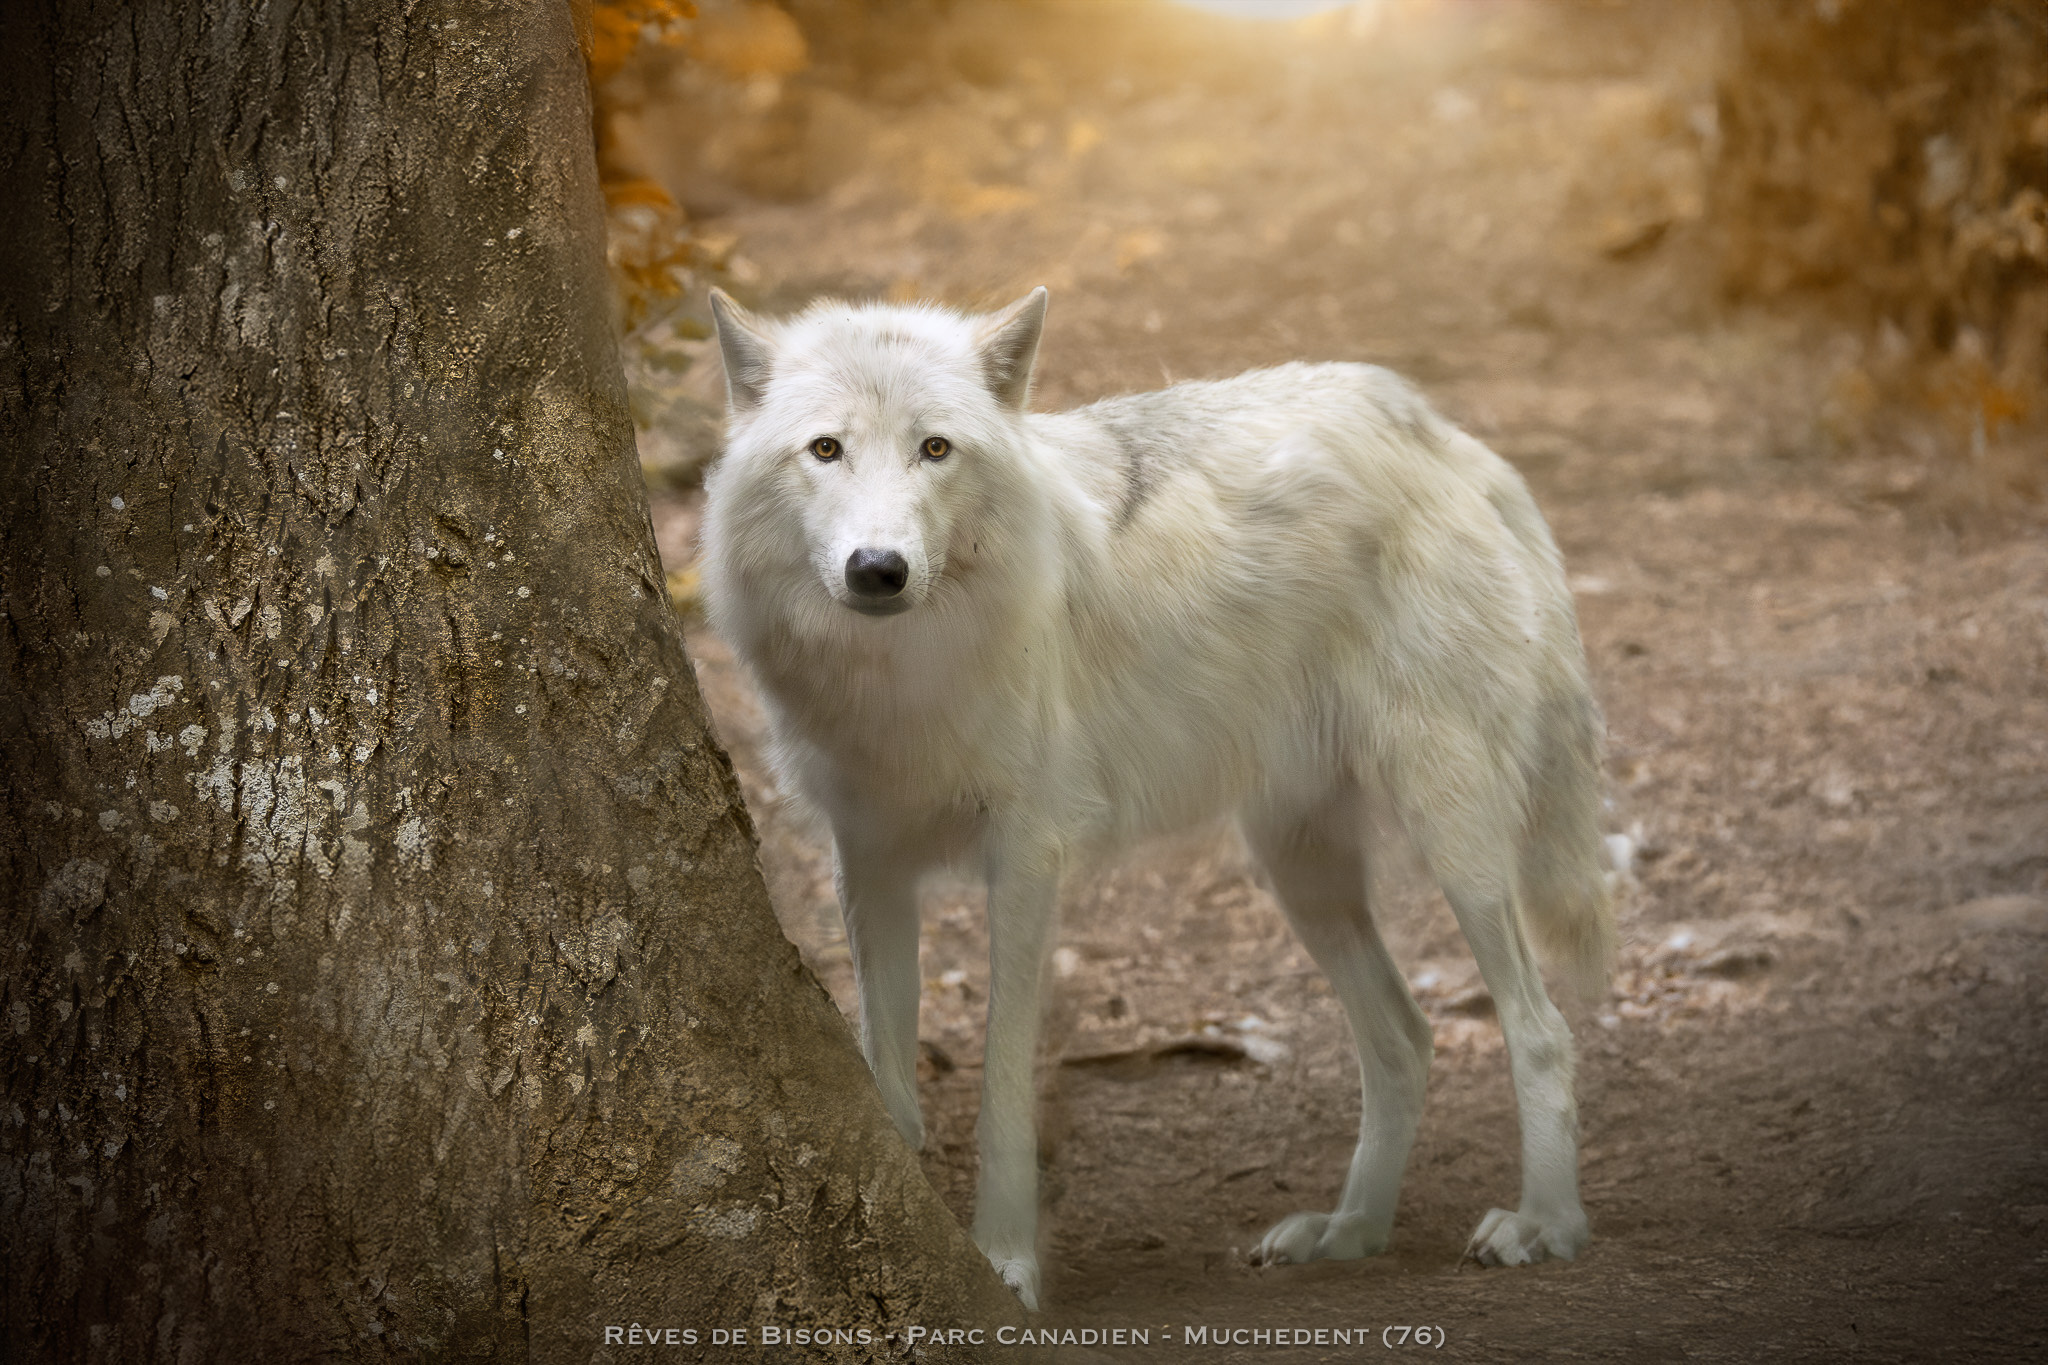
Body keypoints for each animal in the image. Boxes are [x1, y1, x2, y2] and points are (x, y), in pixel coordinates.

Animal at [700, 286, 1613, 1309]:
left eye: (935, 448)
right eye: (826, 449)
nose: (879, 568)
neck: (900, 677)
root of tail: (1446, 437)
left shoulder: (1027, 858)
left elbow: (1003, 1082)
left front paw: (1006, 1260)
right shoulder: (870, 864)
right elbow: (885, 1067)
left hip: (1454, 839)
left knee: (1542, 1029)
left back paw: (1545, 1223)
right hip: (1300, 869)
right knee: (1405, 1042)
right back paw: (1350, 1230)